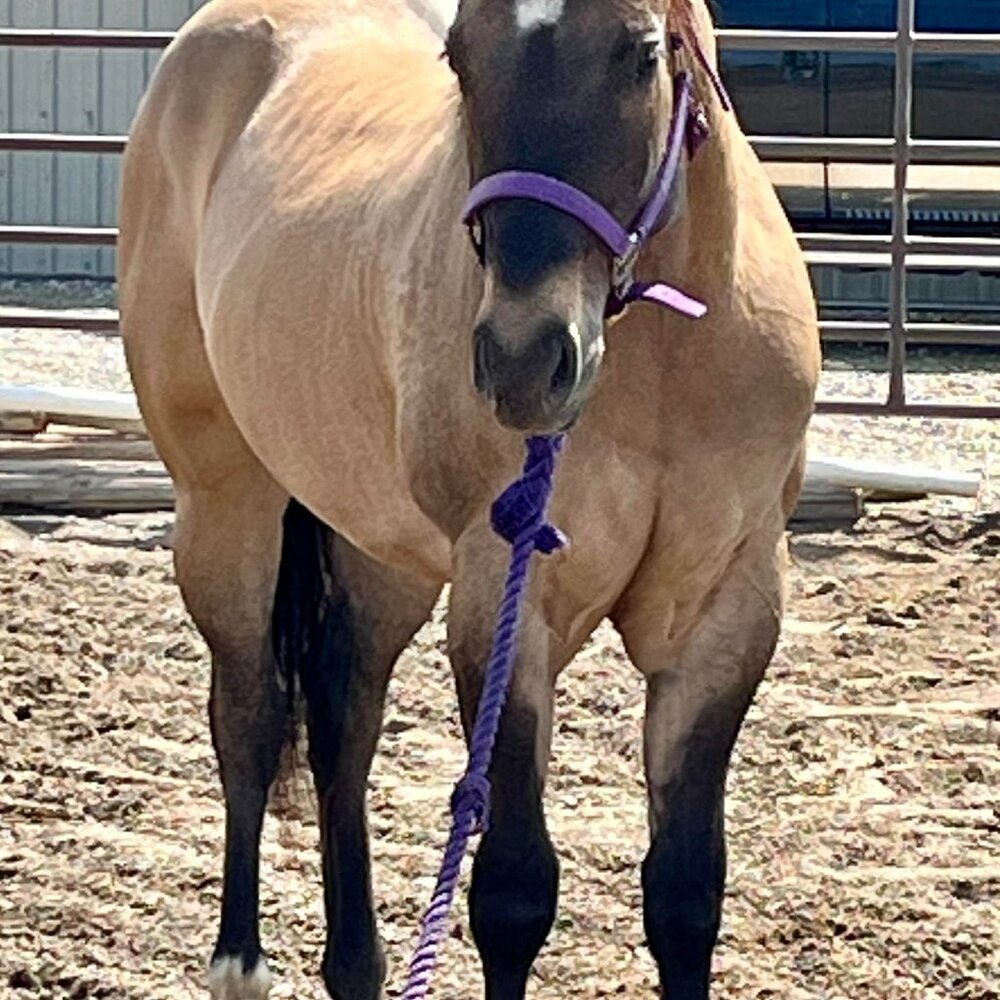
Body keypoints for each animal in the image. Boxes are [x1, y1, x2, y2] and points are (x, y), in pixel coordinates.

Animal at [118, 0, 820, 996]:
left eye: (641, 54)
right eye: (460, 56)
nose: (525, 359)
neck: (664, 368)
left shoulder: (725, 614)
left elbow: (686, 894)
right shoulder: (505, 600)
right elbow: (514, 892)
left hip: (381, 550)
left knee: (343, 721)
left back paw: (356, 966)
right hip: (226, 505)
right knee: (248, 717)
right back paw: (241, 962)